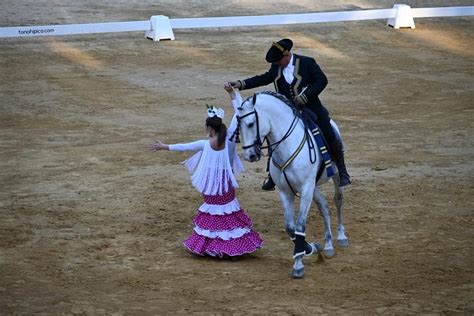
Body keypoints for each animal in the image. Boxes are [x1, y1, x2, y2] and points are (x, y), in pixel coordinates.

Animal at [236, 90, 348, 278]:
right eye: (239, 125)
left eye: (250, 124)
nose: (250, 155)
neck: (286, 145)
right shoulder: (285, 191)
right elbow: (290, 227)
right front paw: (309, 249)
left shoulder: (306, 188)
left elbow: (300, 225)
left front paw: (298, 266)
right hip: (313, 187)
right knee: (324, 207)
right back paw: (328, 245)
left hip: (335, 177)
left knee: (337, 200)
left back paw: (341, 237)